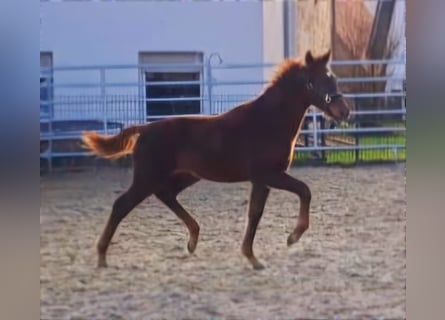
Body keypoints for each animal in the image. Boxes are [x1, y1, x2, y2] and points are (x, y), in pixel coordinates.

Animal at [81, 50, 348, 270]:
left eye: (333, 78)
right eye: (316, 81)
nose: (344, 111)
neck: (267, 121)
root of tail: (144, 129)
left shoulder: (261, 180)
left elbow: (255, 213)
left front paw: (252, 257)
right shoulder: (268, 175)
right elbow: (304, 191)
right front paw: (292, 237)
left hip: (186, 175)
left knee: (166, 195)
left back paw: (193, 239)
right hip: (147, 178)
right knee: (121, 205)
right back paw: (102, 256)